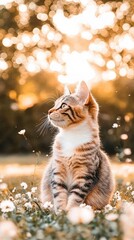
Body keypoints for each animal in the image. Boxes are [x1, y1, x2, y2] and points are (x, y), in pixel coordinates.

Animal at [40, 81, 114, 212]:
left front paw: (70, 213)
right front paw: (60, 213)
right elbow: (59, 196)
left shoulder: (84, 175)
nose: (49, 111)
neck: (71, 135)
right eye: (55, 104)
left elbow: (75, 198)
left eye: (63, 105)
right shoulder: (58, 171)